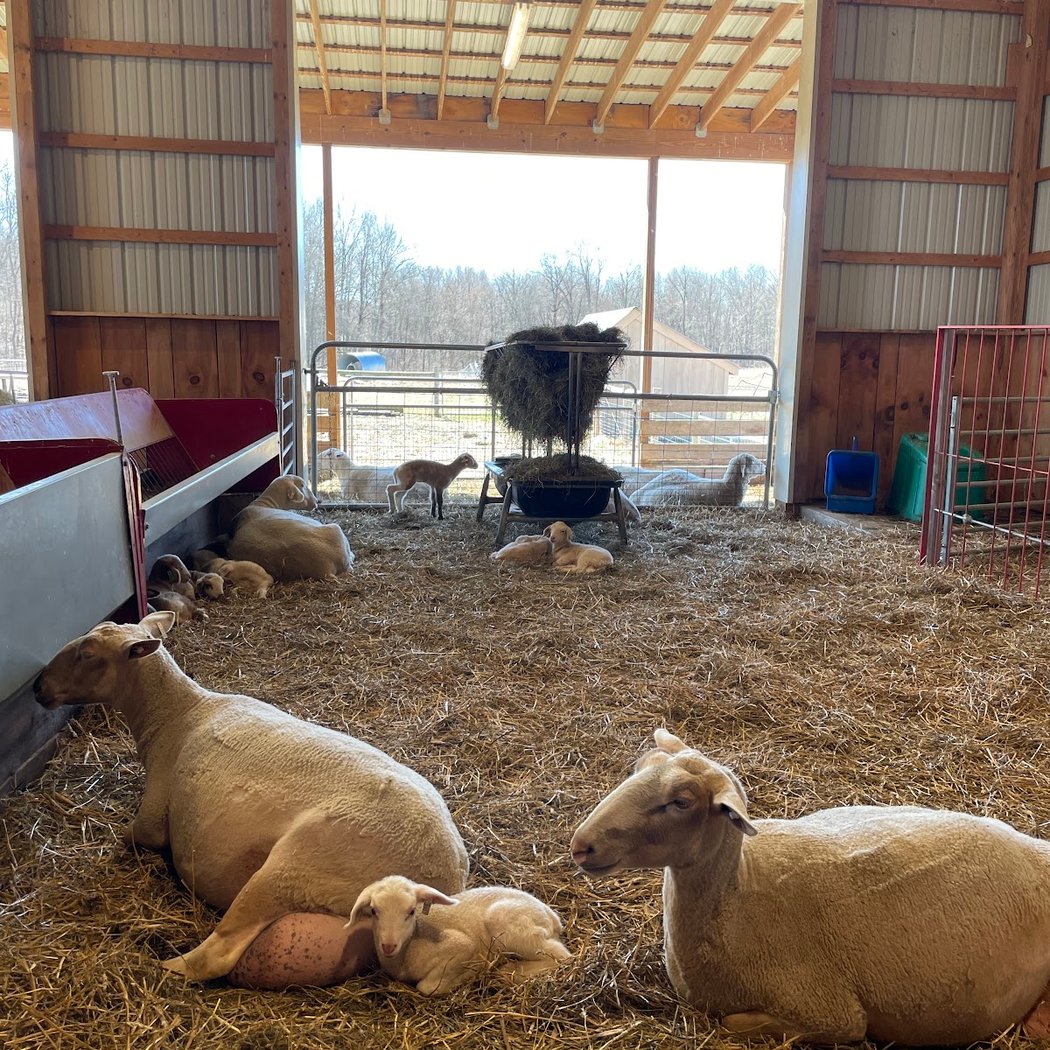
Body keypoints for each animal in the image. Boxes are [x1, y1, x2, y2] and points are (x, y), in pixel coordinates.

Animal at [33, 612, 469, 985]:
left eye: (87, 652)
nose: (37, 687)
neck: (176, 714)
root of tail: (446, 876)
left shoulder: (153, 814)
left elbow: (131, 834)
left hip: (294, 868)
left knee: (218, 956)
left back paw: (167, 964)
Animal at [348, 875, 571, 996]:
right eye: (374, 911)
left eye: (411, 911)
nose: (388, 946)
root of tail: (551, 915)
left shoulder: (462, 945)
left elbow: (426, 987)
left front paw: (464, 976)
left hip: (512, 927)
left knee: (562, 956)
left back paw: (511, 971)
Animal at [570, 728, 1050, 1045]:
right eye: (638, 769)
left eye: (682, 801)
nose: (580, 845)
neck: (740, 895)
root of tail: (1036, 848)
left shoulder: (831, 1015)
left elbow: (733, 1023)